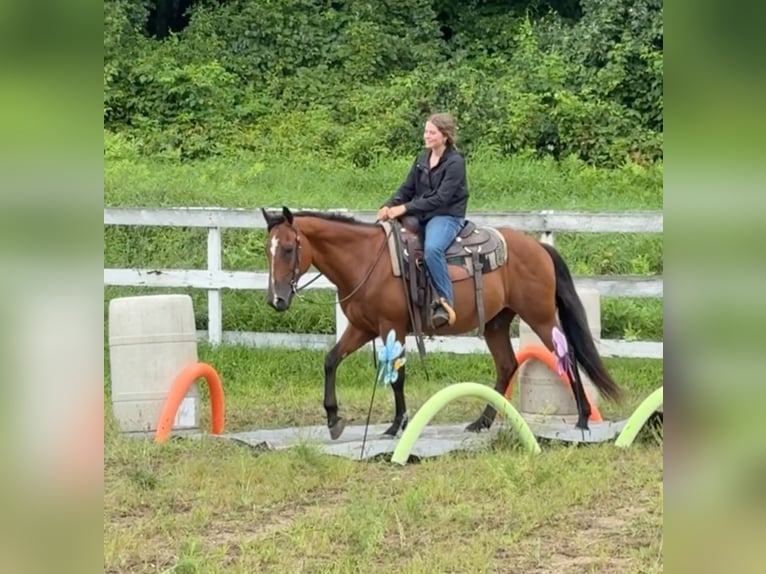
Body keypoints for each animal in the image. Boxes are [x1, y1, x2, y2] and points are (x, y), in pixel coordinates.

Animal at [264, 207, 624, 440]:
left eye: (288, 248)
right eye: (267, 251)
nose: (276, 300)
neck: (366, 260)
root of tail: (538, 246)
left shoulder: (391, 326)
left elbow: (397, 377)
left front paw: (396, 425)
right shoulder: (361, 328)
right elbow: (331, 360)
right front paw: (333, 420)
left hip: (540, 316)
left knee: (567, 356)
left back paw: (581, 419)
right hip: (496, 323)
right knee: (507, 365)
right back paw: (482, 422)